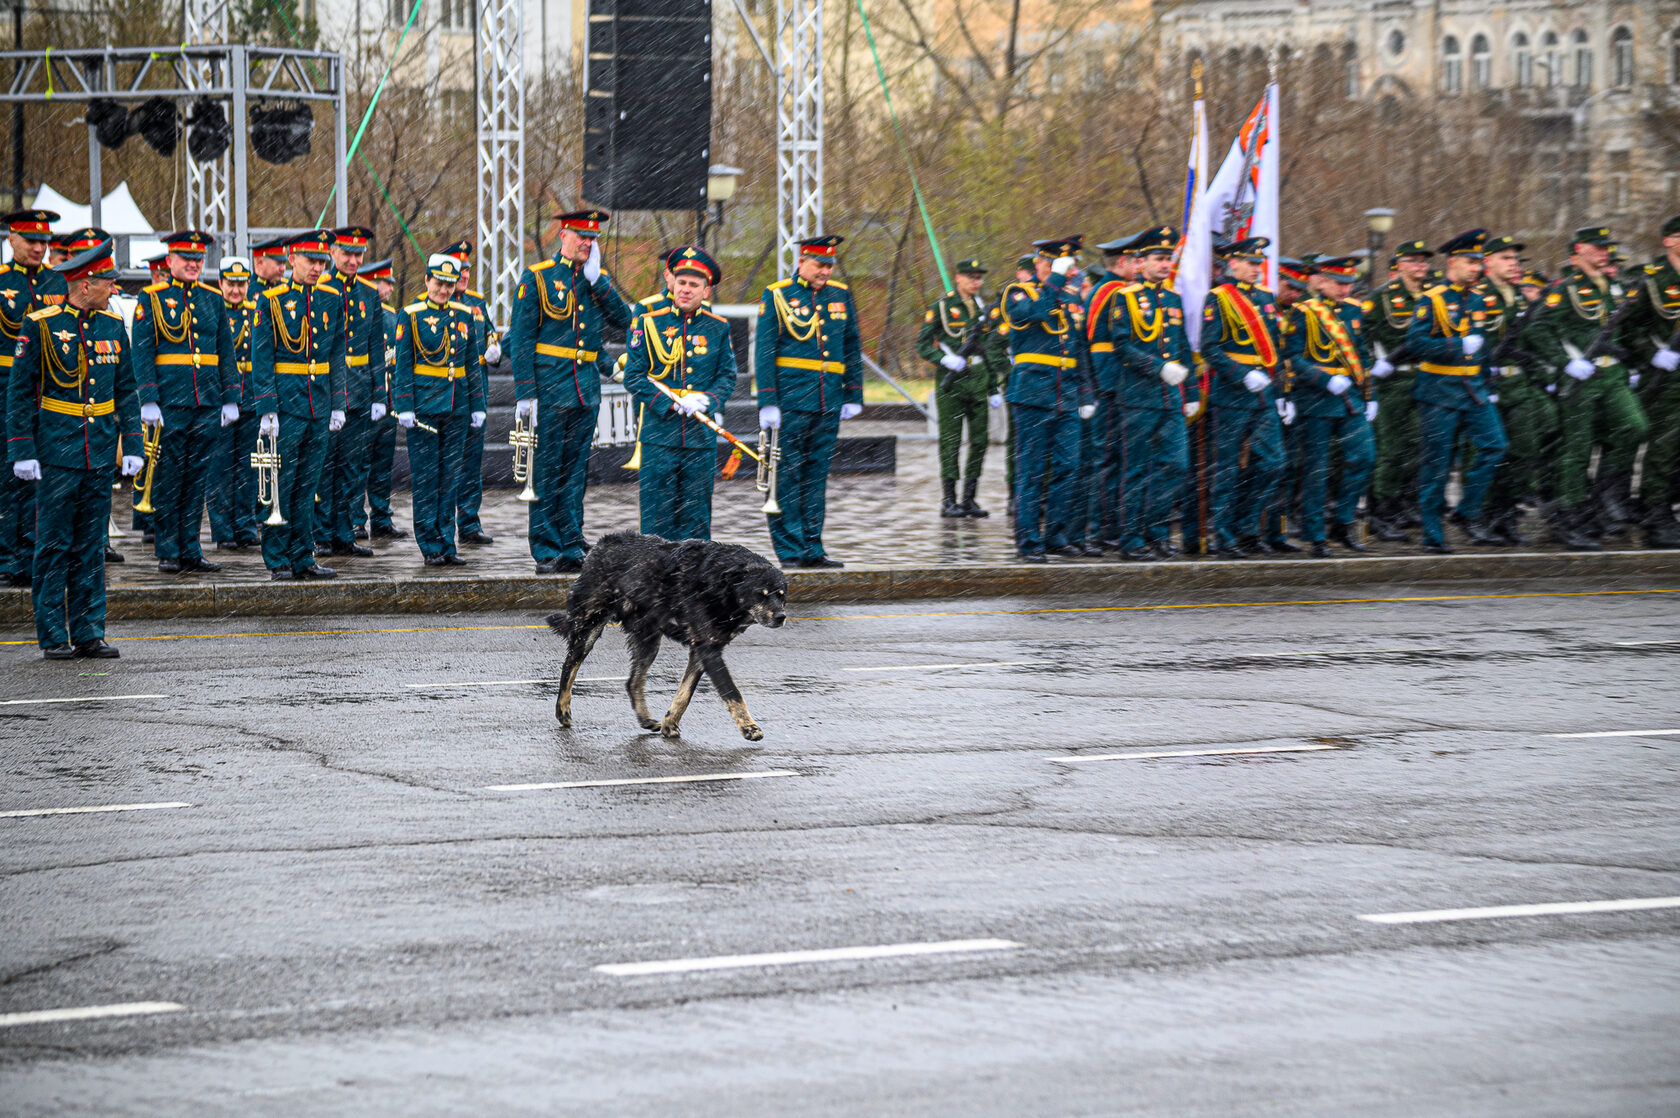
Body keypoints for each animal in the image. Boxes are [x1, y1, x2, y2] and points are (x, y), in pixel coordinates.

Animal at [547, 534, 789, 739]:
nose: (781, 616)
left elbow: (684, 693)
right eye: (760, 594)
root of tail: (599, 545)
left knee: (633, 681)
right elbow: (731, 690)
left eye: (781, 595)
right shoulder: (708, 649)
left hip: (648, 641)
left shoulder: (701, 650)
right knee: (569, 666)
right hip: (589, 628)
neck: (721, 587)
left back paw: (645, 718)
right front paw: (749, 727)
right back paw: (562, 710)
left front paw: (670, 723)